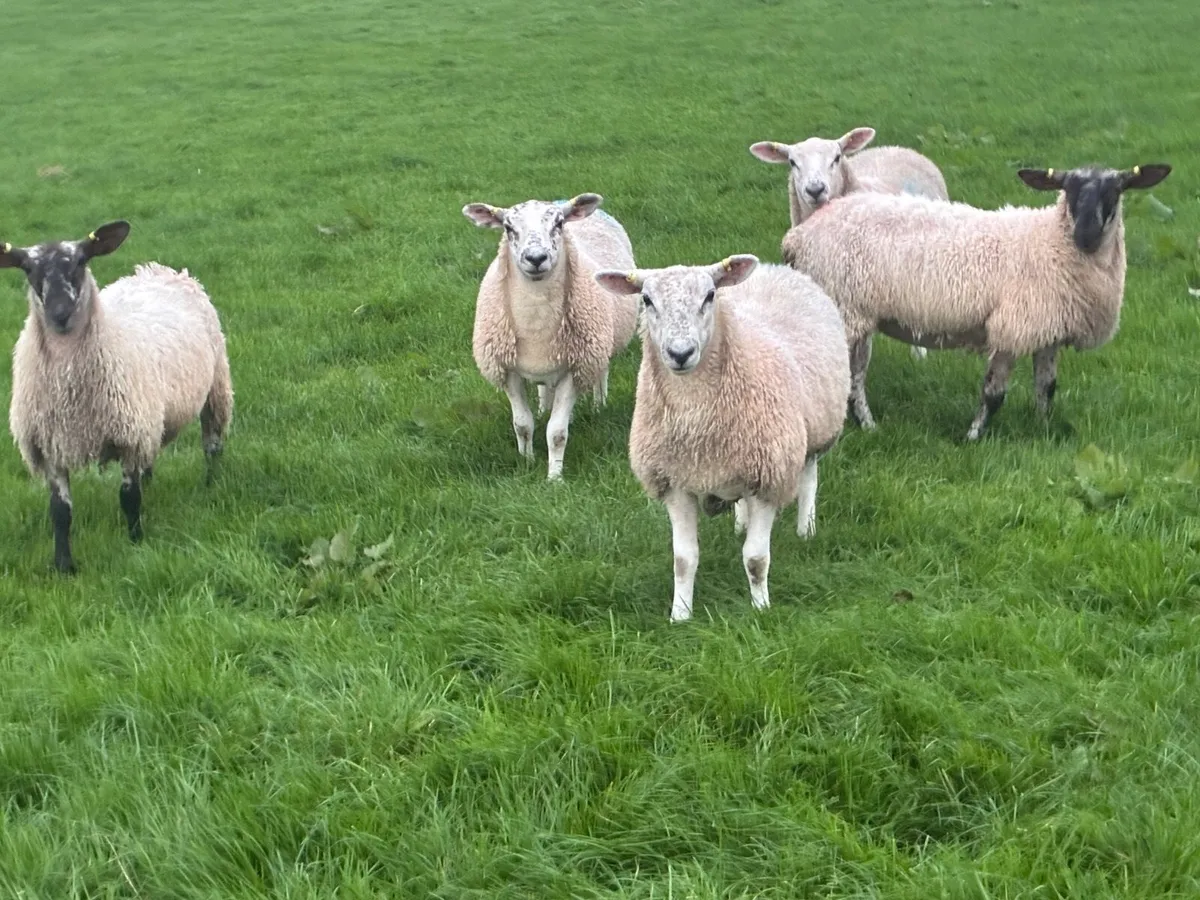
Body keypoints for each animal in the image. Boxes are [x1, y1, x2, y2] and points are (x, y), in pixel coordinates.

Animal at [1, 221, 234, 573]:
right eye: (28, 268)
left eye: (81, 261)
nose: (60, 314)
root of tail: (158, 269)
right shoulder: (50, 444)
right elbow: (60, 512)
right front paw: (64, 566)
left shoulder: (128, 436)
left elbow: (129, 499)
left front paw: (136, 543)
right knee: (153, 456)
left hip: (215, 383)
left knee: (212, 443)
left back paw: (211, 483)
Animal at [462, 193, 639, 480]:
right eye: (508, 227)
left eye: (558, 224)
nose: (536, 258)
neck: (536, 320)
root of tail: (561, 200)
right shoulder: (508, 370)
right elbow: (522, 424)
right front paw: (526, 462)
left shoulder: (574, 368)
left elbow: (557, 432)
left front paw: (554, 477)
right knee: (544, 388)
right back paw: (544, 407)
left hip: (600, 344)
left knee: (601, 373)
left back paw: (598, 405)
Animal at [595, 255, 850, 622]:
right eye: (646, 300)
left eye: (710, 295)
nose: (680, 352)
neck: (695, 416)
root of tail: (773, 268)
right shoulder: (675, 483)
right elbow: (683, 560)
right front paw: (680, 615)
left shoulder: (768, 478)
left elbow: (756, 558)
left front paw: (761, 608)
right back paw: (741, 524)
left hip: (815, 429)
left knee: (809, 477)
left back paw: (807, 528)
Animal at [779, 163, 1172, 440]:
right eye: (1069, 189)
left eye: (1116, 190)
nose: (1086, 236)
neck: (1050, 242)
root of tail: (799, 235)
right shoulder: (1011, 327)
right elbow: (994, 394)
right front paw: (972, 436)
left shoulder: (1048, 330)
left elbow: (1046, 388)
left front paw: (1043, 430)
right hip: (843, 307)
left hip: (856, 313)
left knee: (855, 375)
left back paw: (868, 425)